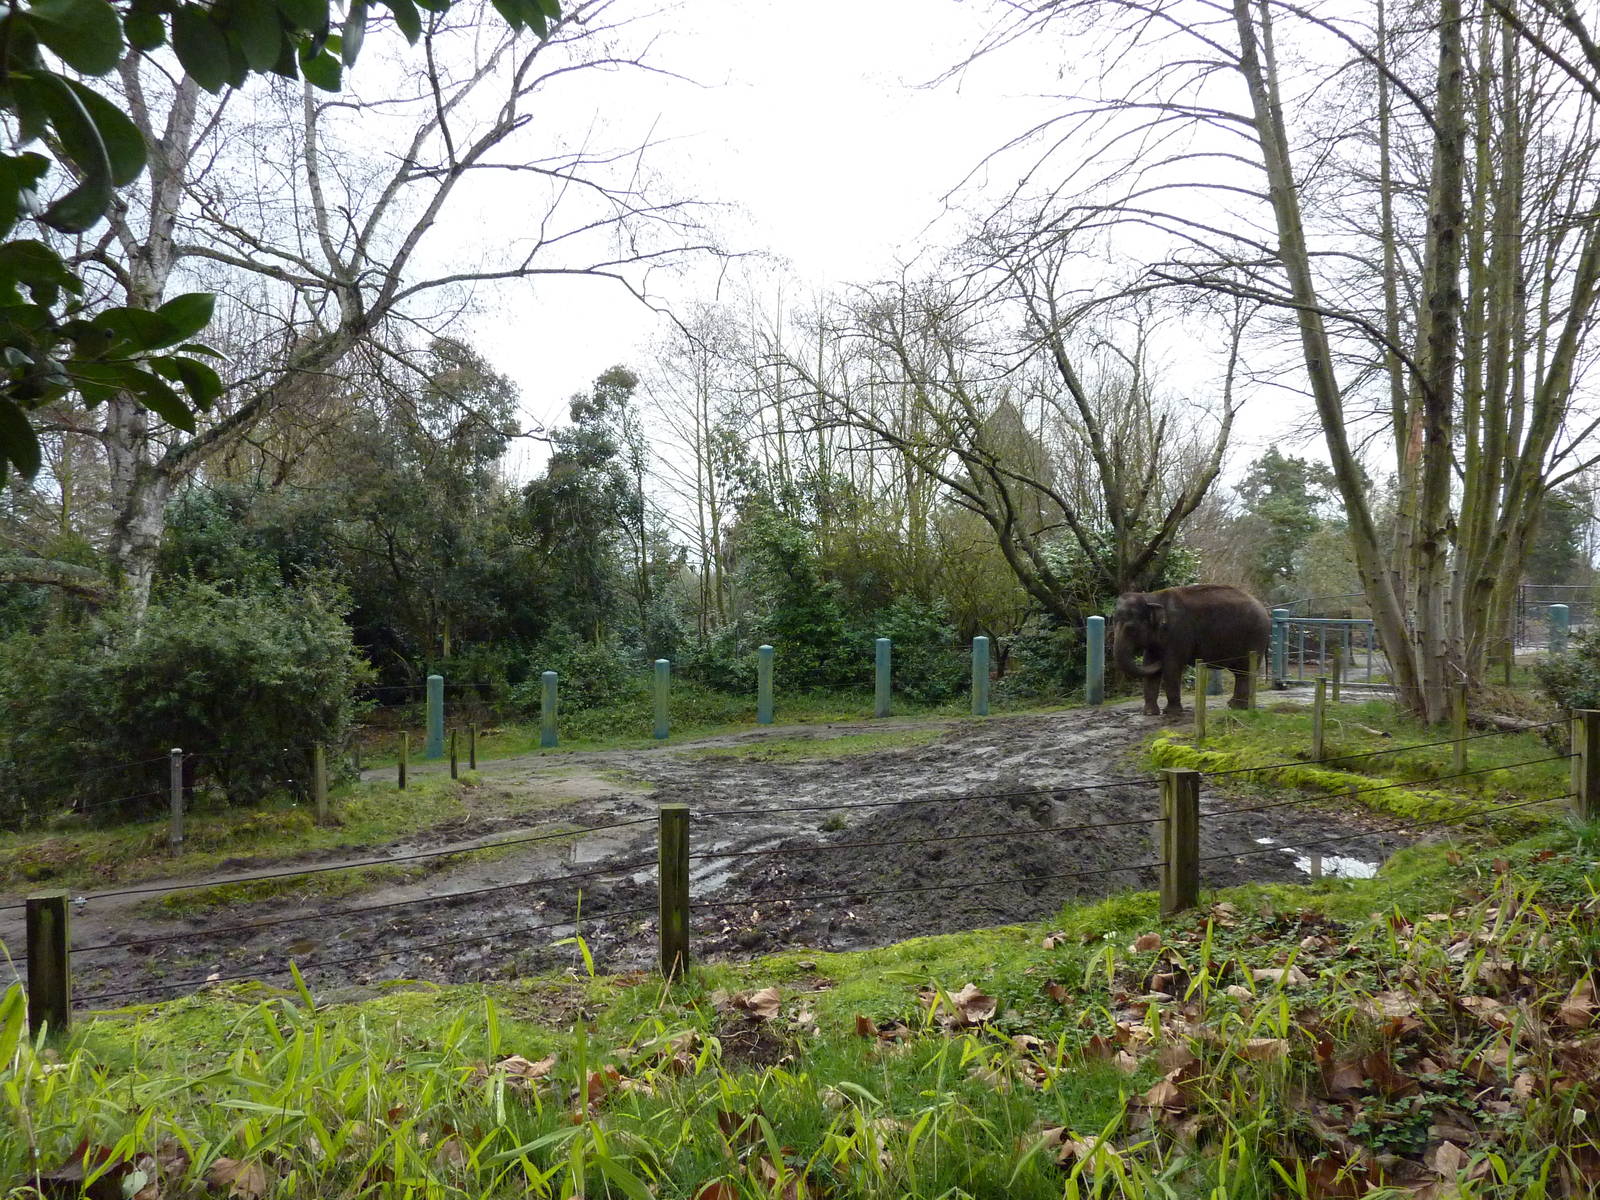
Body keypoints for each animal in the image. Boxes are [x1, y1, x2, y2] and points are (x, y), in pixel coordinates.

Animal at [1111, 584, 1271, 716]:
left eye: (1131, 628)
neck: (1151, 596)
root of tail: (1265, 609)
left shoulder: (1178, 632)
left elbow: (1172, 666)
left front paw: (1171, 712)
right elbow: (1149, 667)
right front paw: (1150, 713)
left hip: (1255, 637)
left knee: (1245, 670)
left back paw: (1239, 707)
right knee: (1240, 672)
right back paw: (1234, 705)